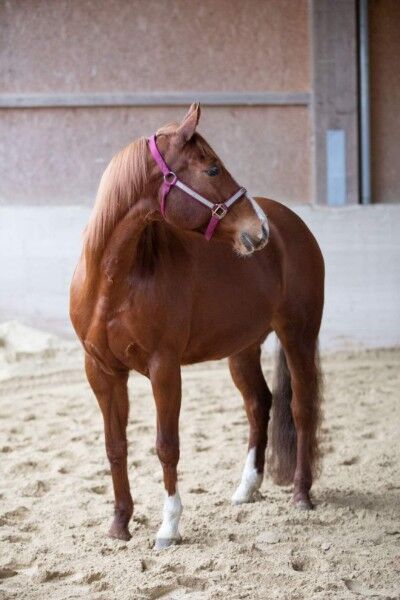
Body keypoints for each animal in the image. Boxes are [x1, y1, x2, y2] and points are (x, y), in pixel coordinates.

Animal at [69, 103, 324, 548]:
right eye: (213, 169)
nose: (258, 230)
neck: (113, 280)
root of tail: (292, 225)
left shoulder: (164, 368)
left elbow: (166, 446)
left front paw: (169, 527)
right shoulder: (101, 371)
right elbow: (115, 447)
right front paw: (119, 524)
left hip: (299, 336)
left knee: (301, 406)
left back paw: (301, 495)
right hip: (243, 349)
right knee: (259, 404)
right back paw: (246, 489)